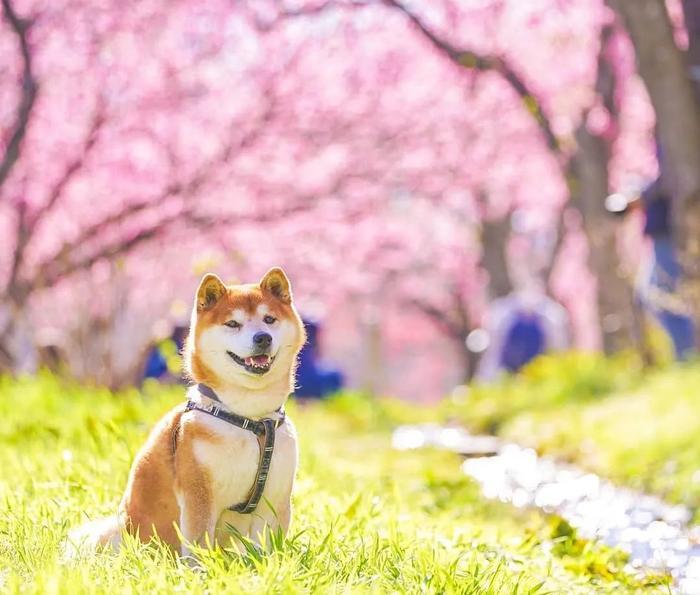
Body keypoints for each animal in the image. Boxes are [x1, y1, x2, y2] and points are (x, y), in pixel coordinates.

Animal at [68, 268, 306, 556]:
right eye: (232, 324)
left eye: (269, 319)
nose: (263, 337)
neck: (250, 418)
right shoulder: (198, 491)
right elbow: (198, 543)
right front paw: (201, 568)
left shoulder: (275, 496)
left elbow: (269, 548)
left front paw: (271, 565)